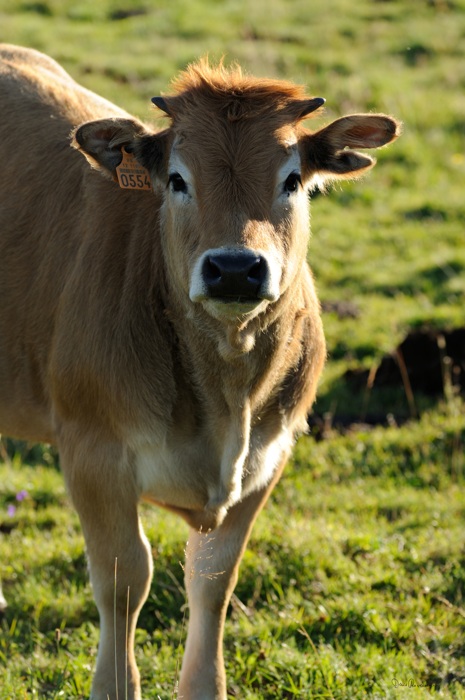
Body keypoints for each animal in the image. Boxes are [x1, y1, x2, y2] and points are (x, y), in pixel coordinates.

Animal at [0, 45, 398, 700]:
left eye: (293, 180)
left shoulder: (269, 455)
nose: (235, 268)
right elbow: (124, 580)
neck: (224, 399)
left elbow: (212, 579)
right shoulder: (93, 452)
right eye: (177, 179)